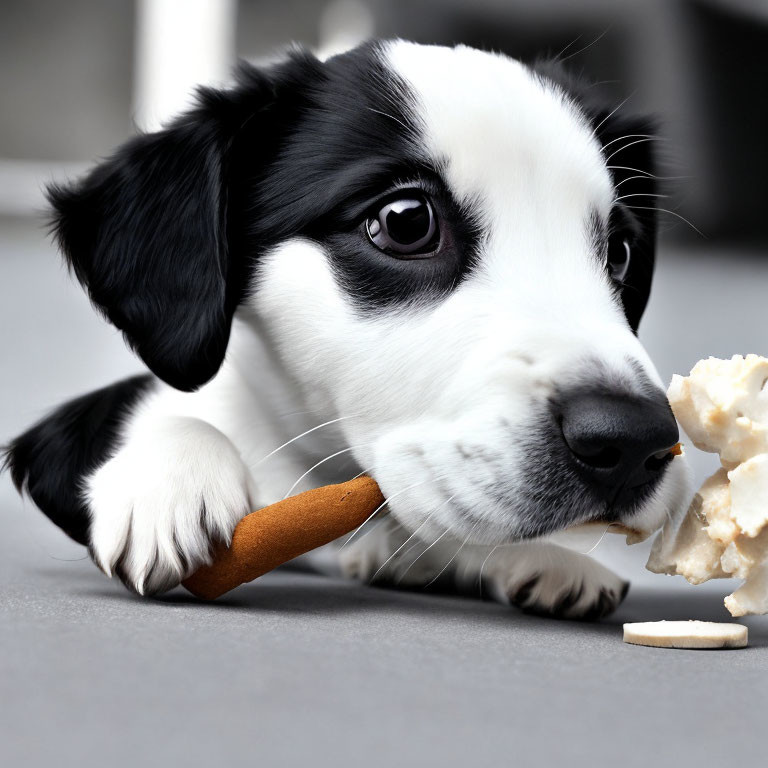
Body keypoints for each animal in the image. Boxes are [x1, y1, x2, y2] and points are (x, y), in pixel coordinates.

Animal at [3, 40, 688, 616]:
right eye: (407, 221)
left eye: (620, 254)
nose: (633, 441)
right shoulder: (59, 440)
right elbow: (177, 417)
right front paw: (170, 480)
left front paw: (538, 557)